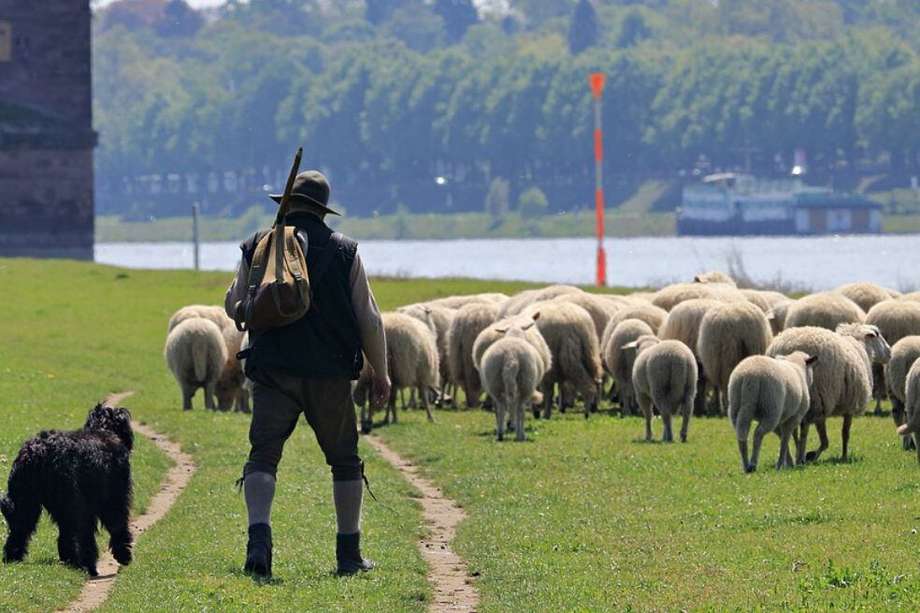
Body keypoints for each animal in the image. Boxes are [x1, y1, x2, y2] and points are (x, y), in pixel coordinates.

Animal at [1, 404, 135, 576]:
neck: (104, 430)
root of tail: (38, 452)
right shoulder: (114, 498)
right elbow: (118, 525)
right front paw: (123, 555)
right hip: (72, 502)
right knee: (80, 535)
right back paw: (87, 564)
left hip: (25, 502)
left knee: (20, 529)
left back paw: (14, 557)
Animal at [768, 322, 892, 462]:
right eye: (877, 334)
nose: (890, 352)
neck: (861, 346)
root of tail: (785, 347)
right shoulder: (846, 405)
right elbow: (843, 434)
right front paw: (843, 456)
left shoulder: (824, 407)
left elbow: (825, 439)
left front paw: (810, 455)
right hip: (815, 398)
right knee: (803, 429)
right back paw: (800, 457)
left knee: (791, 429)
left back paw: (794, 457)